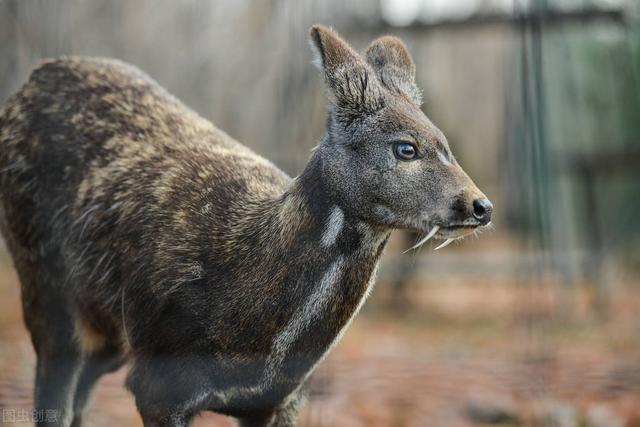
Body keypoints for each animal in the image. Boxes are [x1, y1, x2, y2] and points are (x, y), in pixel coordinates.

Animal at [0, 25, 492, 426]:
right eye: (405, 148)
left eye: (446, 143)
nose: (480, 206)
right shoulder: (159, 386)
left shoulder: (280, 401)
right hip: (43, 286)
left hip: (107, 334)